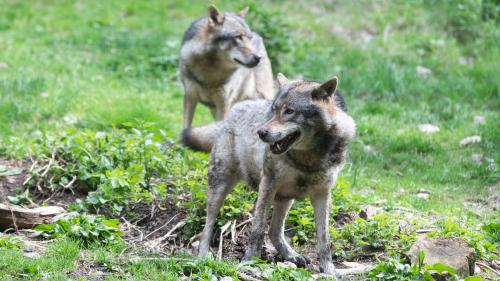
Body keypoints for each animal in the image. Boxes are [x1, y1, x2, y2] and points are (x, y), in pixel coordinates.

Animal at [183, 73, 356, 272]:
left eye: (289, 111)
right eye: (274, 110)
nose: (260, 132)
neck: (307, 159)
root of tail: (231, 113)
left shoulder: (322, 194)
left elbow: (324, 239)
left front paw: (329, 271)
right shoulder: (268, 184)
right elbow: (257, 229)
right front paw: (249, 261)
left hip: (285, 199)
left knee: (274, 231)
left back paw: (291, 255)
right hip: (219, 189)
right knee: (207, 226)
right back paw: (203, 257)